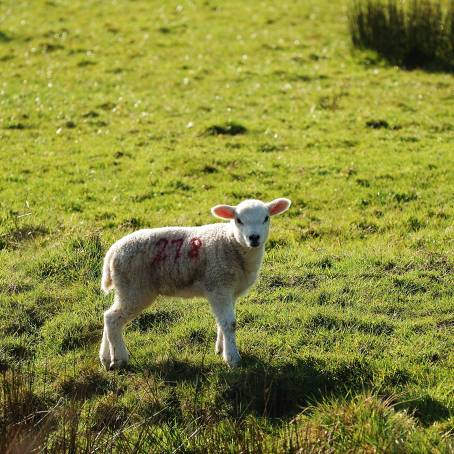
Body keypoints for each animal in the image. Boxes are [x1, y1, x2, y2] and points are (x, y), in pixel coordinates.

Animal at [99, 198, 290, 368]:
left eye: (266, 218)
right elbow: (230, 324)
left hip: (125, 288)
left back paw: (105, 358)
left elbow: (221, 322)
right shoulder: (219, 285)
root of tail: (113, 251)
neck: (231, 242)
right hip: (134, 288)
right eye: (238, 220)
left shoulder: (227, 291)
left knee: (108, 316)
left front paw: (220, 349)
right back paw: (119, 359)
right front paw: (232, 359)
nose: (254, 237)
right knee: (113, 319)